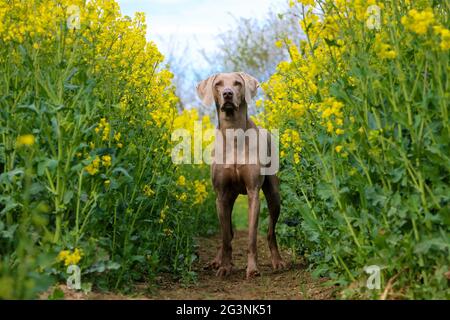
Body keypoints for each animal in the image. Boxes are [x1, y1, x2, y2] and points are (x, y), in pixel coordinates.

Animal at [196, 72, 284, 278]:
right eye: (218, 84)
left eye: (237, 83)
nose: (227, 94)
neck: (233, 134)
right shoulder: (220, 195)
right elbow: (226, 236)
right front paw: (224, 267)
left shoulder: (253, 192)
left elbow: (251, 236)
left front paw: (252, 269)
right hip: (229, 197)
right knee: (228, 233)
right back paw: (217, 260)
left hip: (274, 195)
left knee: (270, 231)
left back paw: (277, 261)